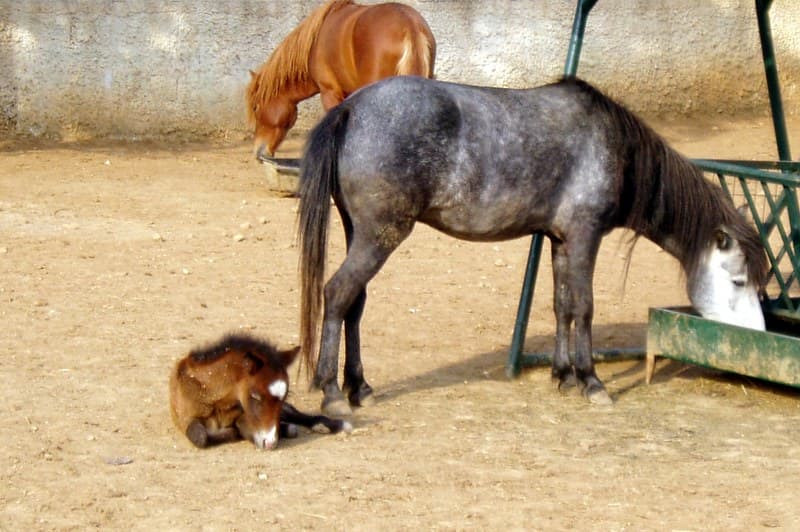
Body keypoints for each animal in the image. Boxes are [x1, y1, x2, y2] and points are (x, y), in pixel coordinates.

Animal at [296, 75, 769, 415]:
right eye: (739, 280)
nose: (757, 335)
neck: (614, 146)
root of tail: (351, 108)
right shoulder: (583, 236)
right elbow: (584, 307)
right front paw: (591, 381)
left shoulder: (560, 241)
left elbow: (562, 306)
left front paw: (563, 376)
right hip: (379, 237)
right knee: (337, 294)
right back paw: (333, 392)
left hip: (361, 234)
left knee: (353, 303)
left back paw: (359, 387)